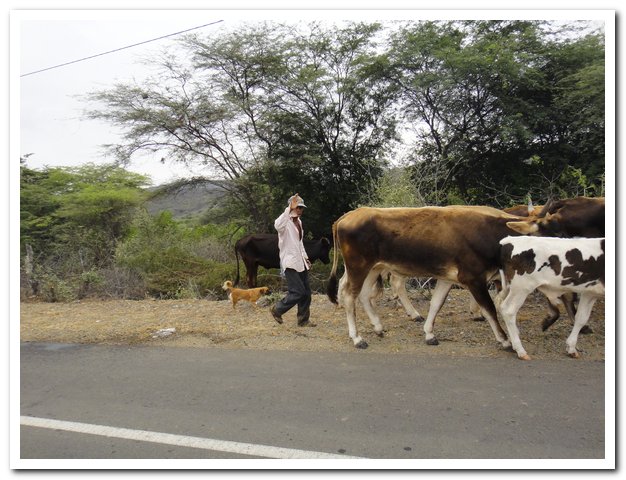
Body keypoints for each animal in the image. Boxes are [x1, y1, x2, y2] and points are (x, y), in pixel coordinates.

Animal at [327, 205, 536, 349]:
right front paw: (505, 340)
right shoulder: (474, 279)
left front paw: (429, 334)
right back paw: (357, 338)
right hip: (358, 267)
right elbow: (490, 308)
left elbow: (436, 303)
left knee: (362, 294)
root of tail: (349, 215)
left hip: (372, 268)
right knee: (350, 295)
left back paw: (378, 327)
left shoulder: (448, 278)